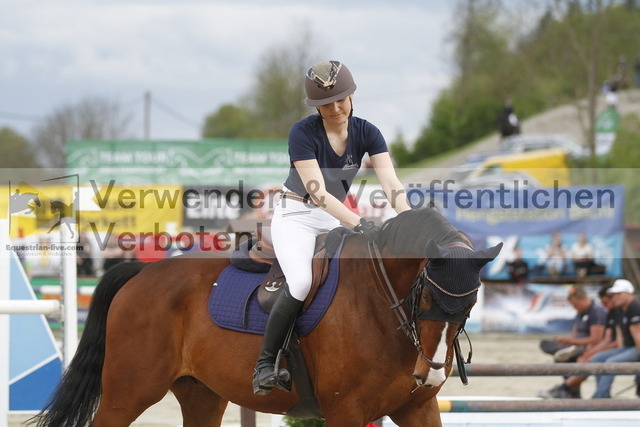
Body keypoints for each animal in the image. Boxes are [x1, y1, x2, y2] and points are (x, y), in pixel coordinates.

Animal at [30, 207, 502, 427]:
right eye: (426, 294)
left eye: (469, 305)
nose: (431, 373)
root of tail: (142, 272)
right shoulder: (346, 411)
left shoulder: (418, 408)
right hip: (129, 392)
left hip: (201, 395)